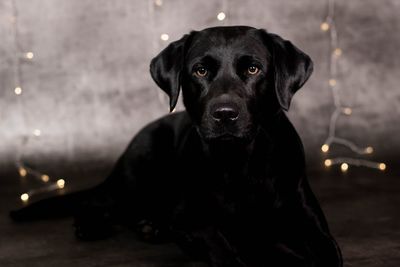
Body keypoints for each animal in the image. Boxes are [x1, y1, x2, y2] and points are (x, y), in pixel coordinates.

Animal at [12, 25, 344, 267]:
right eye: (200, 71)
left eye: (253, 69)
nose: (225, 114)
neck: (240, 163)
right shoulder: (192, 221)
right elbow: (228, 251)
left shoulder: (311, 222)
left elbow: (326, 254)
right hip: (139, 171)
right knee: (97, 201)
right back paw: (93, 225)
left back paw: (151, 226)